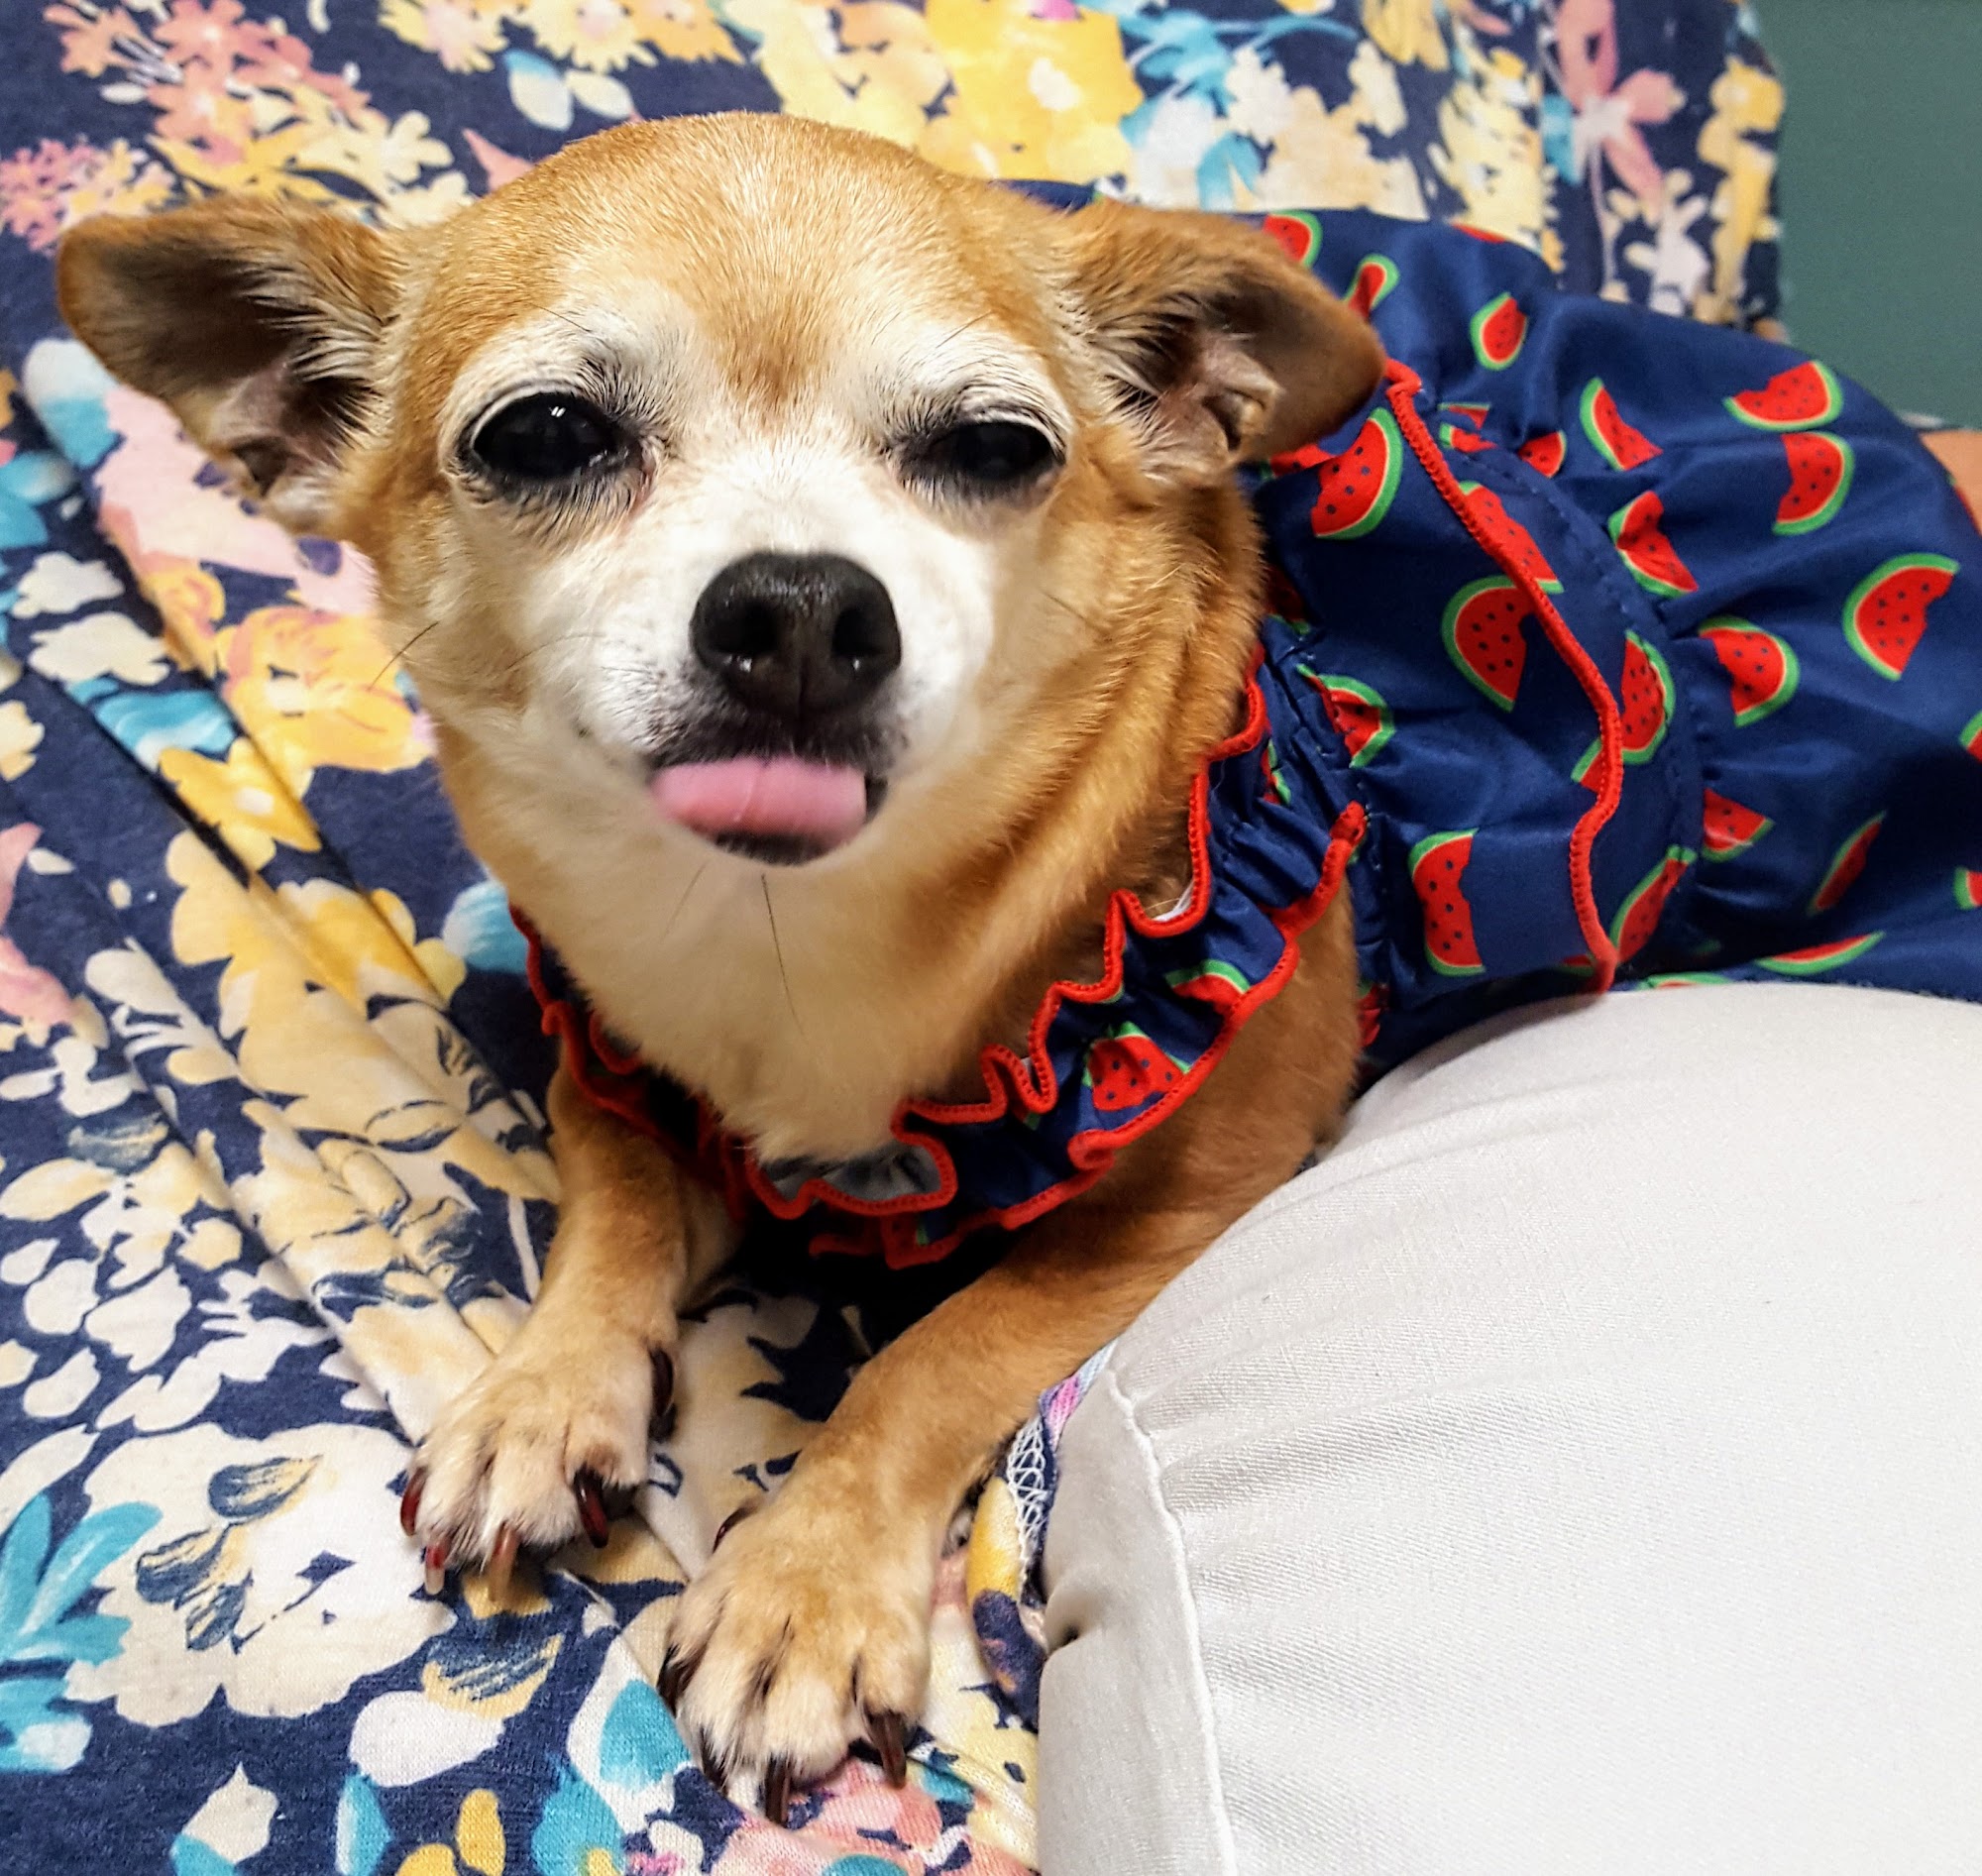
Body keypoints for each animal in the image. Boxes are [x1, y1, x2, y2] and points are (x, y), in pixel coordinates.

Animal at [56, 109, 1982, 1818]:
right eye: (543, 434)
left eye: (995, 451)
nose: (801, 605)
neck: (794, 945)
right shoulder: (631, 1064)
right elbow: (611, 1205)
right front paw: (539, 1395)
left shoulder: (1188, 1187)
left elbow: (938, 1351)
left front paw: (803, 1586)